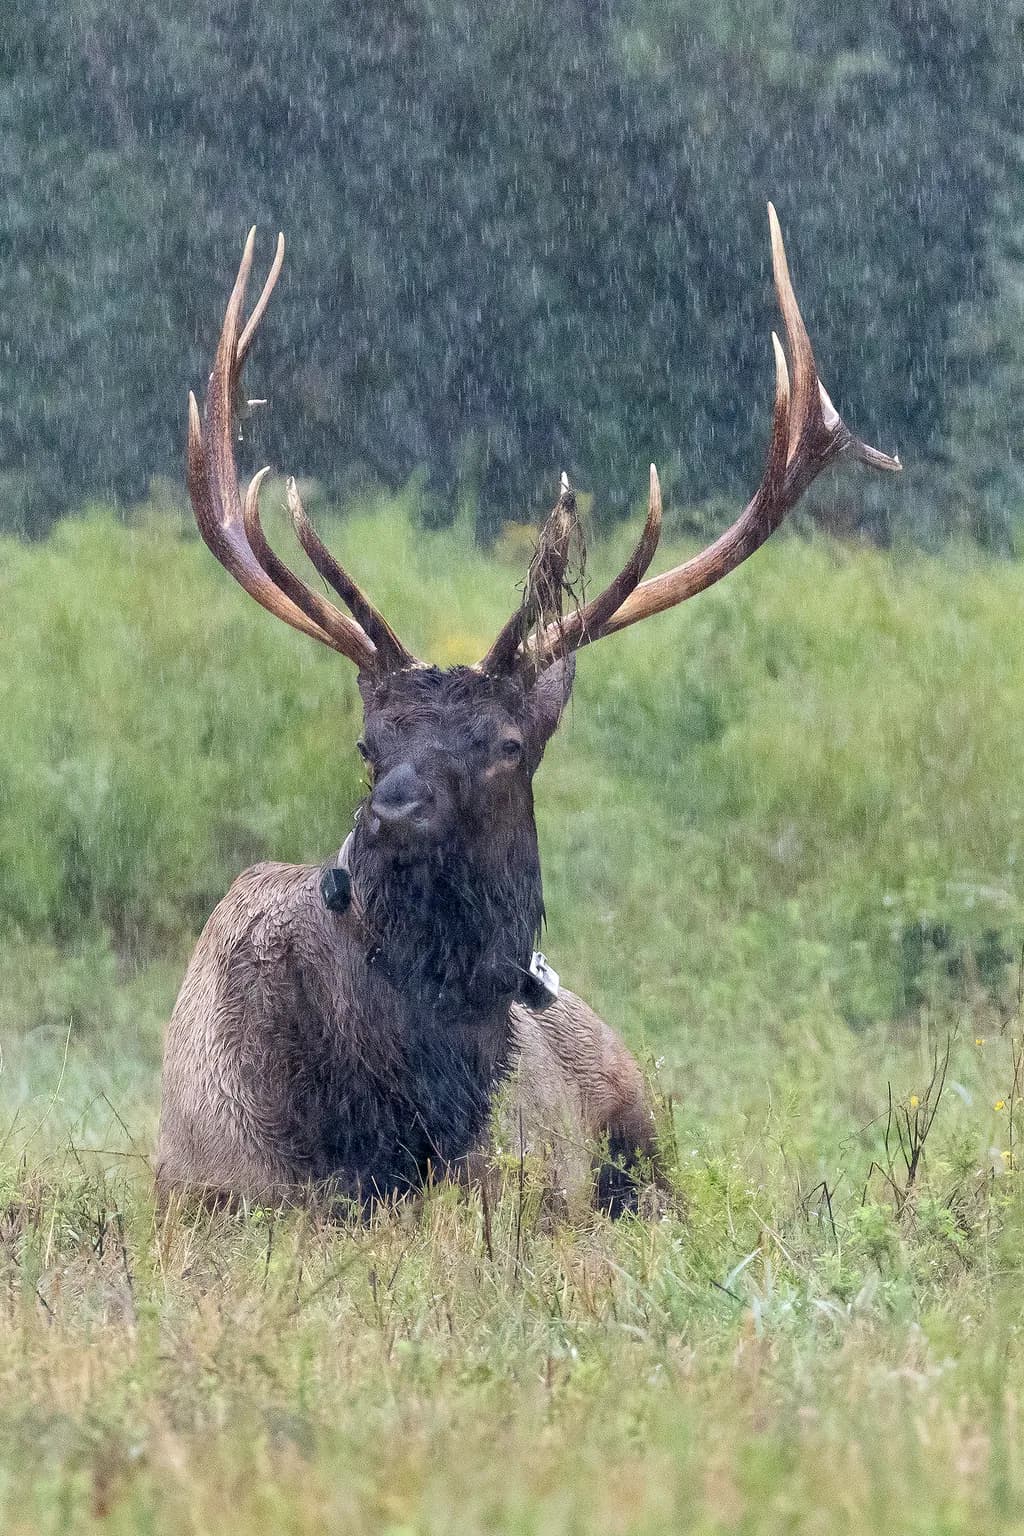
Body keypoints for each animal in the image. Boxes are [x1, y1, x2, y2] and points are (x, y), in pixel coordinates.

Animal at [155, 206, 900, 1215]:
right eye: (368, 743)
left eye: (509, 744)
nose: (394, 811)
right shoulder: (218, 1187)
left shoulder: (528, 1188)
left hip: (642, 1107)